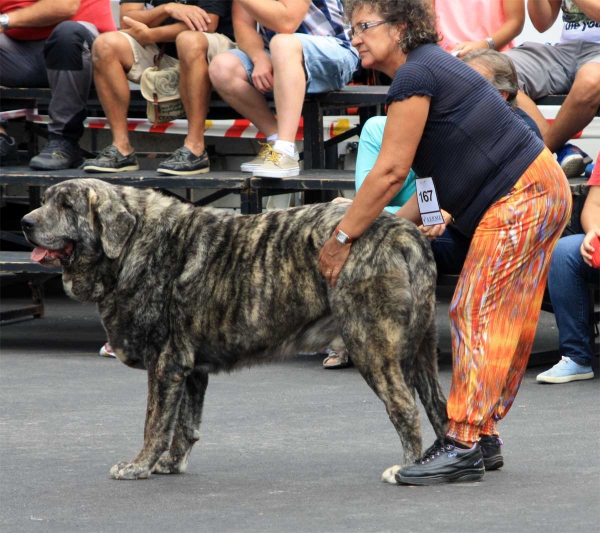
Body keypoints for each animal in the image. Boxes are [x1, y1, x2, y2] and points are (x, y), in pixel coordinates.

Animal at [21, 178, 448, 482]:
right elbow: (184, 425)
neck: (131, 243)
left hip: (371, 344)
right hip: (421, 349)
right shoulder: (189, 370)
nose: (25, 222)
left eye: (66, 206)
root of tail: (405, 232)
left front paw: (138, 465)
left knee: (404, 407)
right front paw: (170, 464)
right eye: (46, 199)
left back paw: (406, 468)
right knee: (438, 407)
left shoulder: (164, 364)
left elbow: (155, 423)